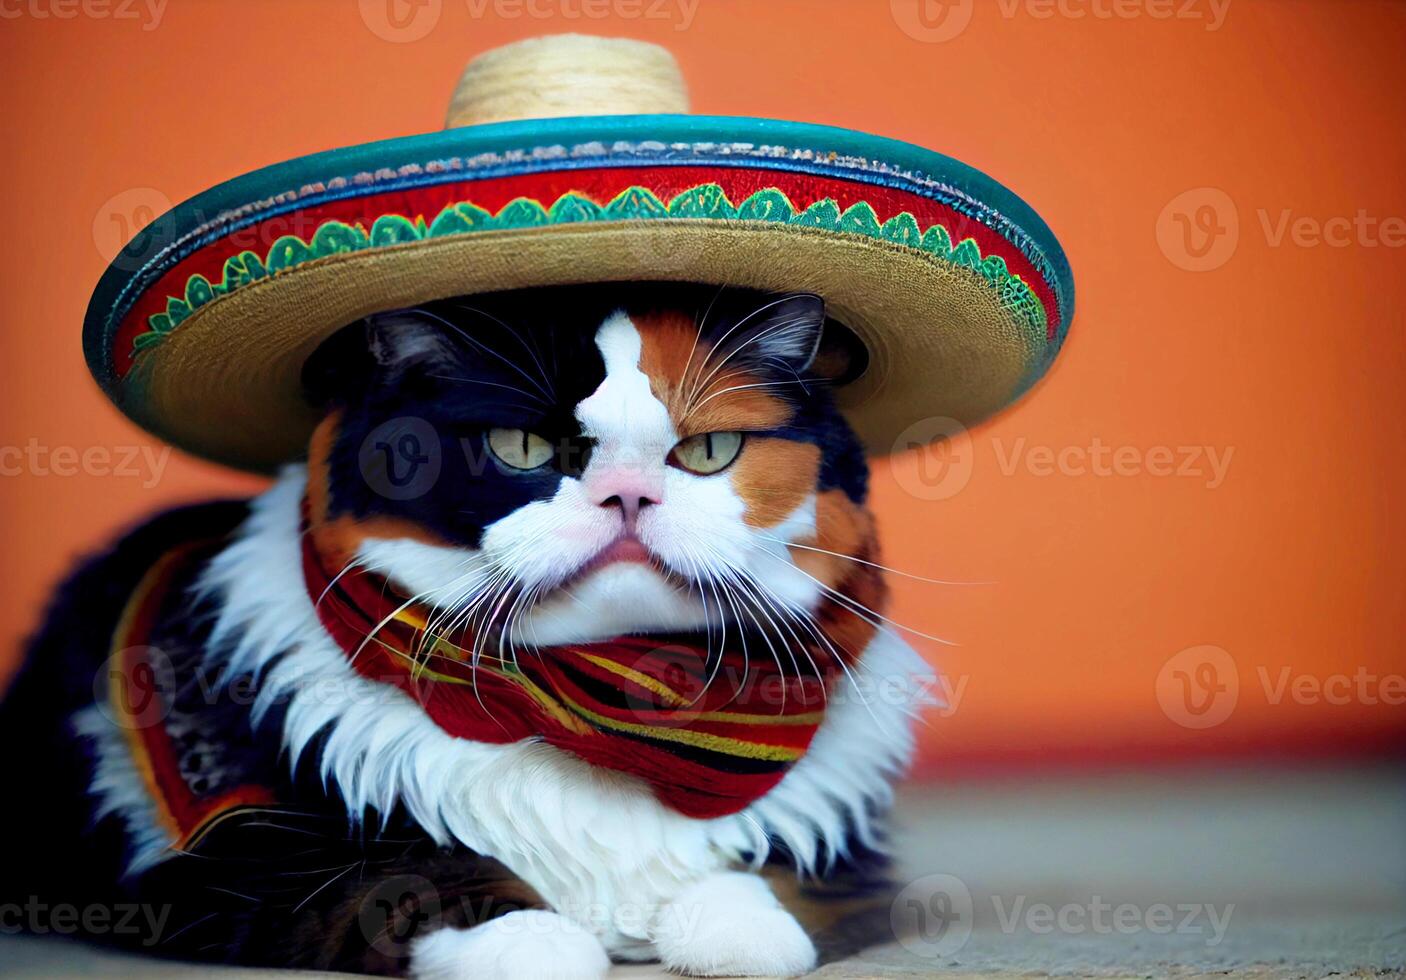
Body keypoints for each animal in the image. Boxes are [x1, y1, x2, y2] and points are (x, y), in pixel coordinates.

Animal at [5, 282, 939, 978]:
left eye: (709, 452)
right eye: (518, 446)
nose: (628, 494)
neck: (602, 699)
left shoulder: (839, 848)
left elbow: (765, 887)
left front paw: (729, 921)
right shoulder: (250, 850)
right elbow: (418, 876)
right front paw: (537, 940)